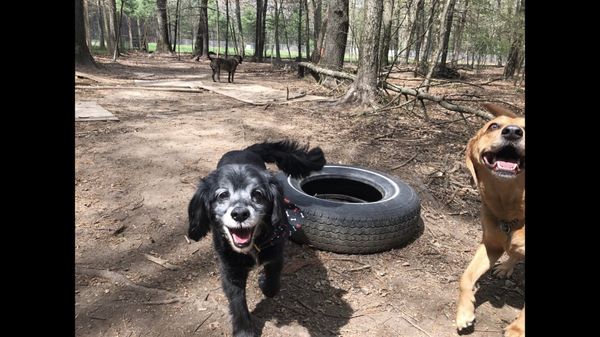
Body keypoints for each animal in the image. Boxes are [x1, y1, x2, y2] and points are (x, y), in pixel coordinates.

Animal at [190, 139, 326, 336]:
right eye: (223, 195)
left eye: (257, 194)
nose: (240, 214)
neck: (252, 246)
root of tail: (243, 150)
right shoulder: (231, 270)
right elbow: (237, 301)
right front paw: (244, 330)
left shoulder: (276, 256)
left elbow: (272, 286)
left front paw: (263, 283)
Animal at [454, 103, 524, 336]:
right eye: (493, 125)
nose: (513, 132)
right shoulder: (490, 246)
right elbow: (465, 277)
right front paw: (464, 314)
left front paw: (517, 330)